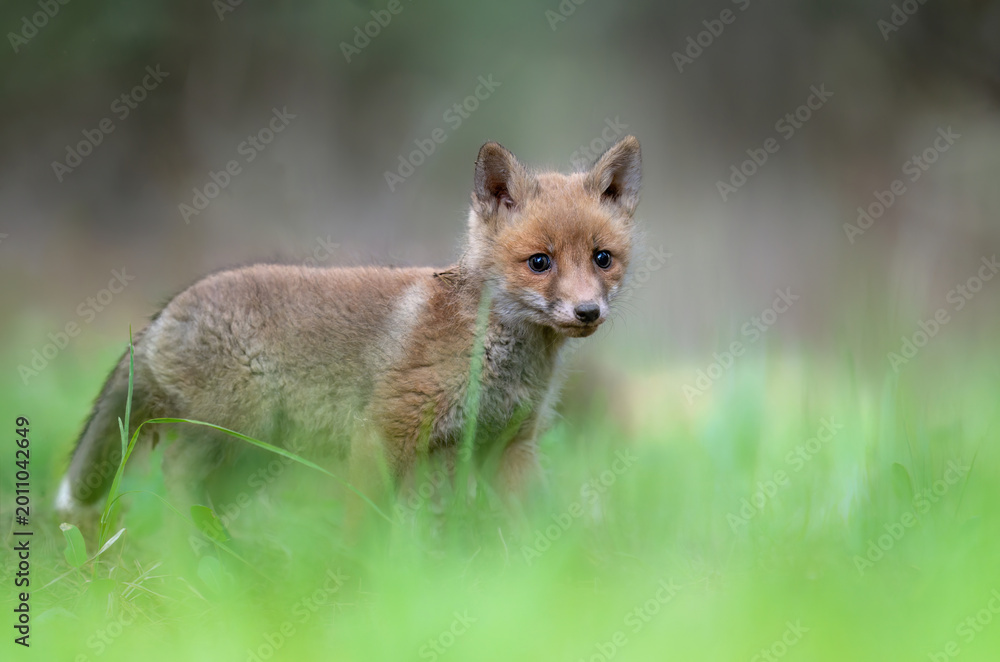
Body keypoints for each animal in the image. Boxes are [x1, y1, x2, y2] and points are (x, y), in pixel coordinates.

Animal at [55, 135, 642, 524]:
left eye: (603, 258)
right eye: (539, 262)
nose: (587, 312)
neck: (496, 357)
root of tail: (163, 314)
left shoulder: (507, 448)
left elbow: (527, 527)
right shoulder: (385, 432)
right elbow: (367, 524)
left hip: (250, 451)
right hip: (232, 433)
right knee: (174, 481)